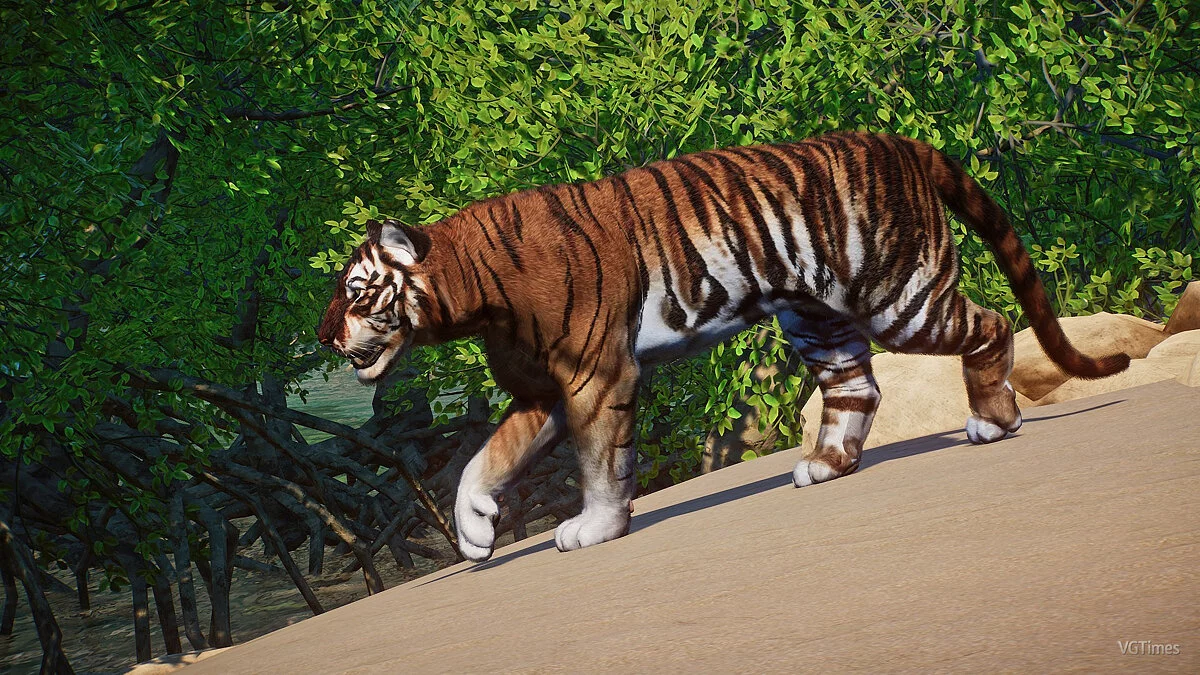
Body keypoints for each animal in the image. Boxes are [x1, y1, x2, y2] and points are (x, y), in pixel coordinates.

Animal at [317, 131, 1130, 562]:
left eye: (357, 290)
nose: (325, 334)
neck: (472, 292)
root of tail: (897, 140)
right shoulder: (543, 391)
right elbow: (480, 462)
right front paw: (475, 532)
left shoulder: (592, 376)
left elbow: (600, 464)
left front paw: (595, 528)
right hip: (818, 315)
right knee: (856, 387)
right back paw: (824, 467)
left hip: (900, 294)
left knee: (989, 325)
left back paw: (993, 421)